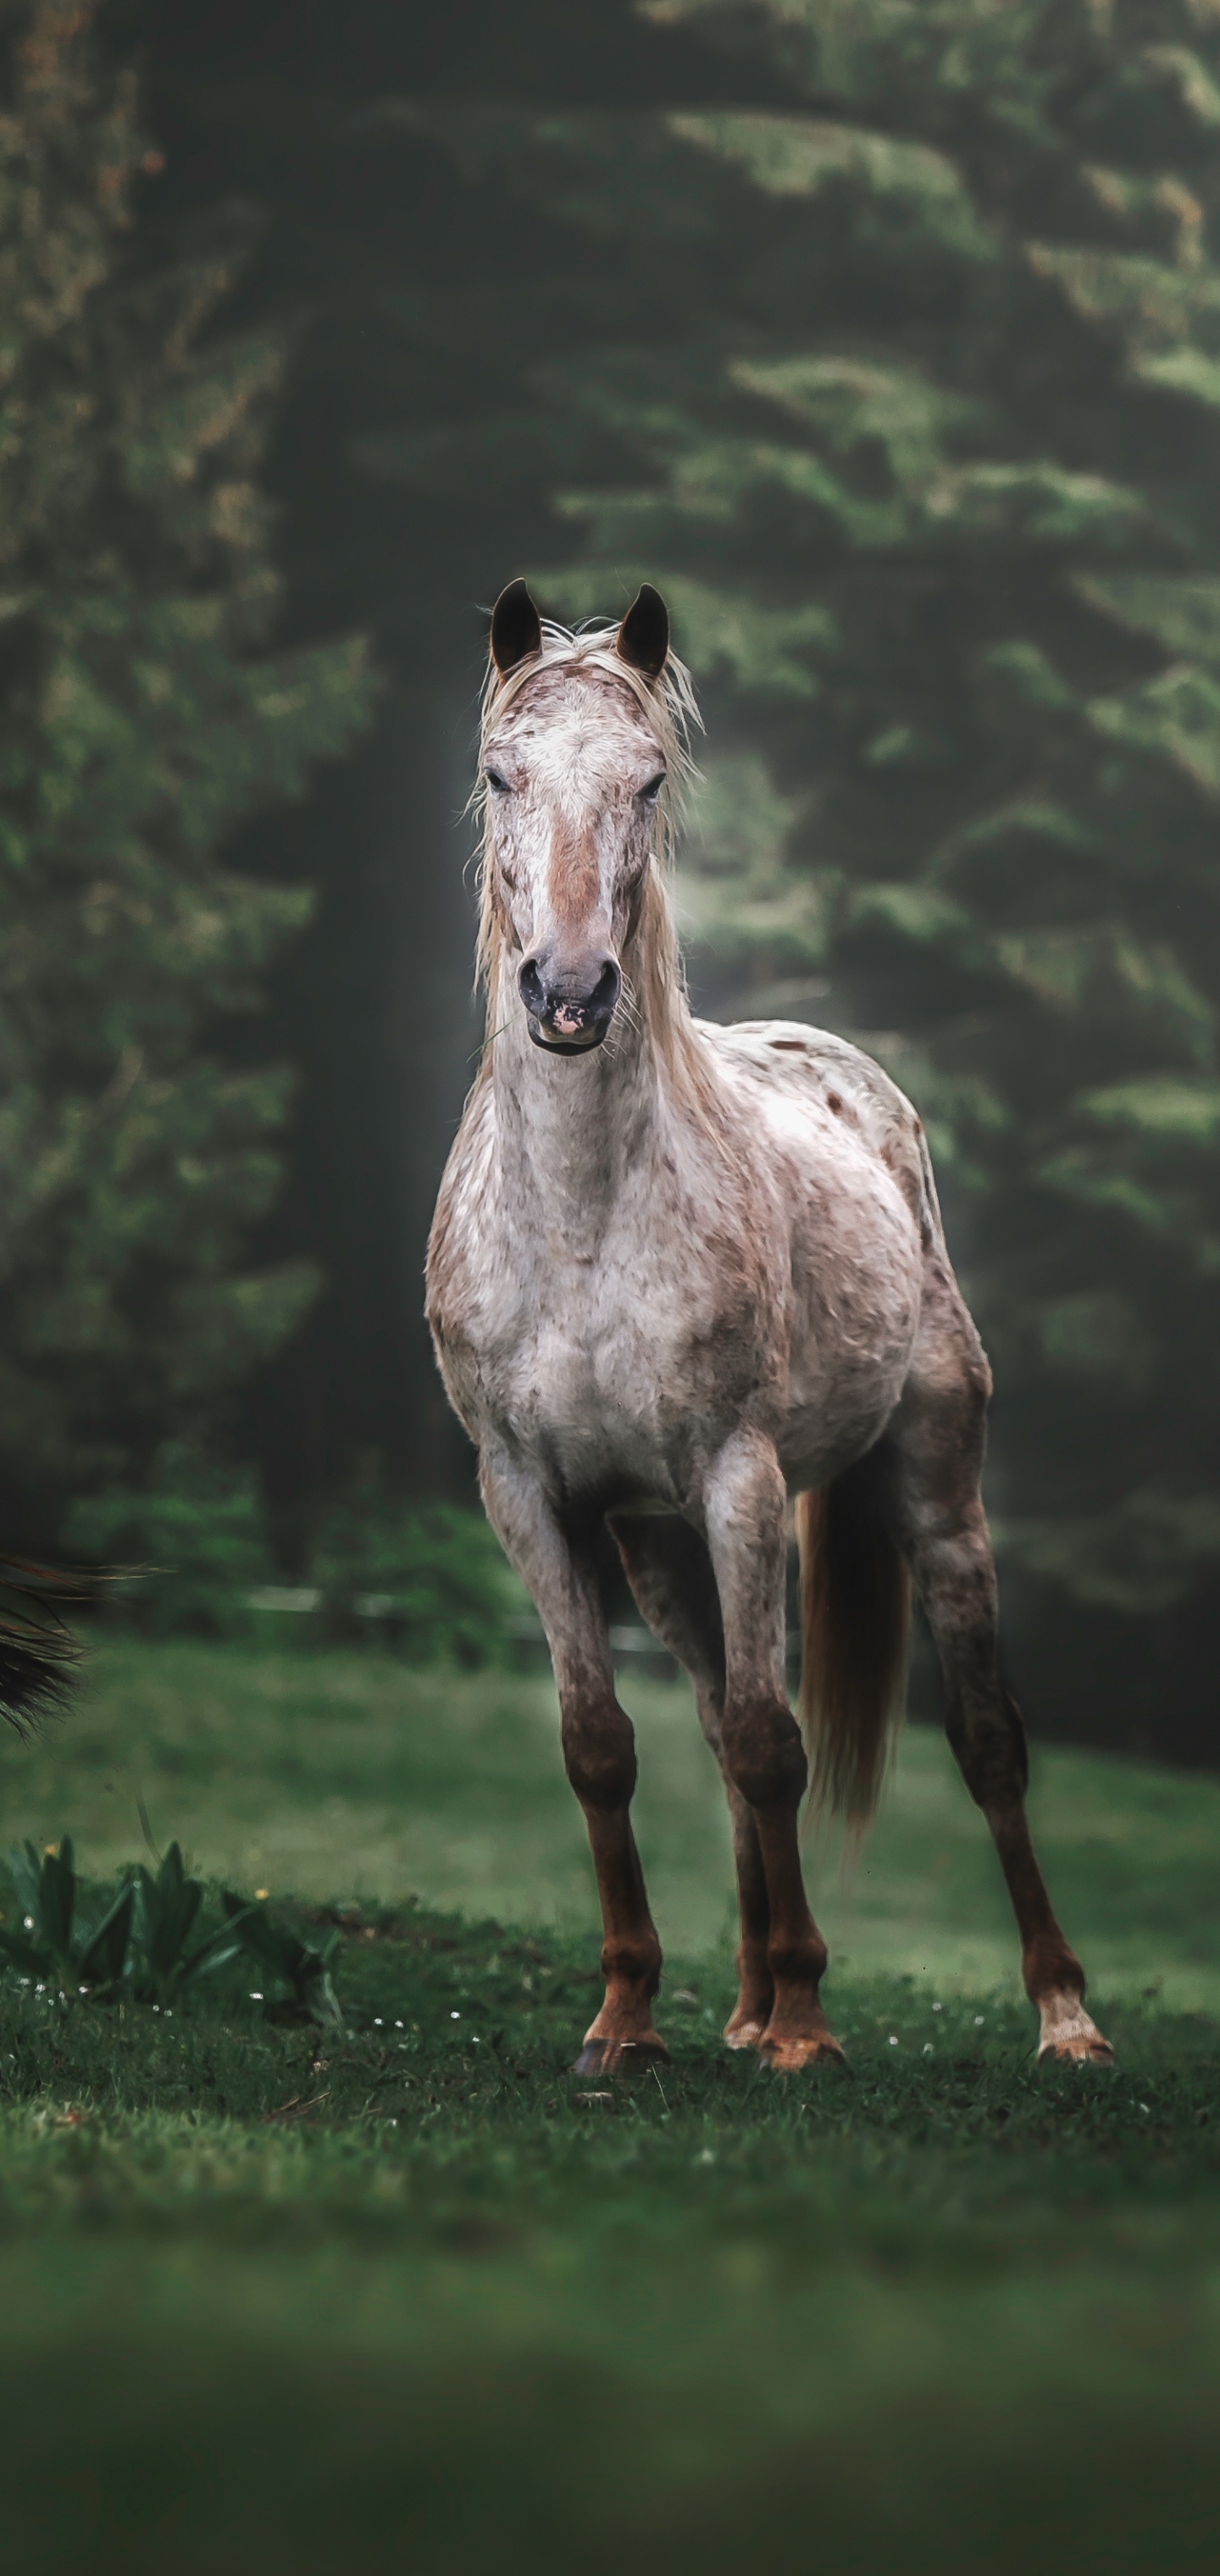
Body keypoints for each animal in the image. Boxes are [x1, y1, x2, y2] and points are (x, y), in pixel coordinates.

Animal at [424, 580, 1112, 2071]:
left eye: (648, 778)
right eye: (499, 774)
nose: (571, 993)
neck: (582, 1219)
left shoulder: (739, 1478)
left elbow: (771, 1740)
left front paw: (807, 2017)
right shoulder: (532, 1497)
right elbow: (604, 1746)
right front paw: (627, 2017)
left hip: (932, 1497)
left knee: (982, 1740)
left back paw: (1062, 2015)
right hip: (656, 1543)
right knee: (701, 1720)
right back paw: (735, 2007)